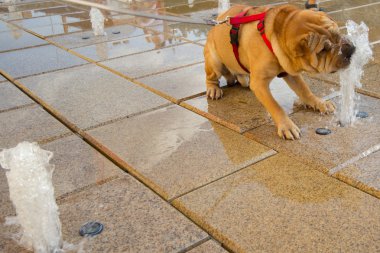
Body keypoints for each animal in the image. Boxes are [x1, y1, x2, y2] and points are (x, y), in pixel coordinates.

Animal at [205, 4, 356, 140]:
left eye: (338, 34)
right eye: (324, 49)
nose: (350, 49)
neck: (275, 36)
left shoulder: (291, 72)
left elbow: (304, 90)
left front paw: (319, 103)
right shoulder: (260, 83)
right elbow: (275, 106)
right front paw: (286, 126)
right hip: (214, 61)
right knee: (211, 77)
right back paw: (214, 89)